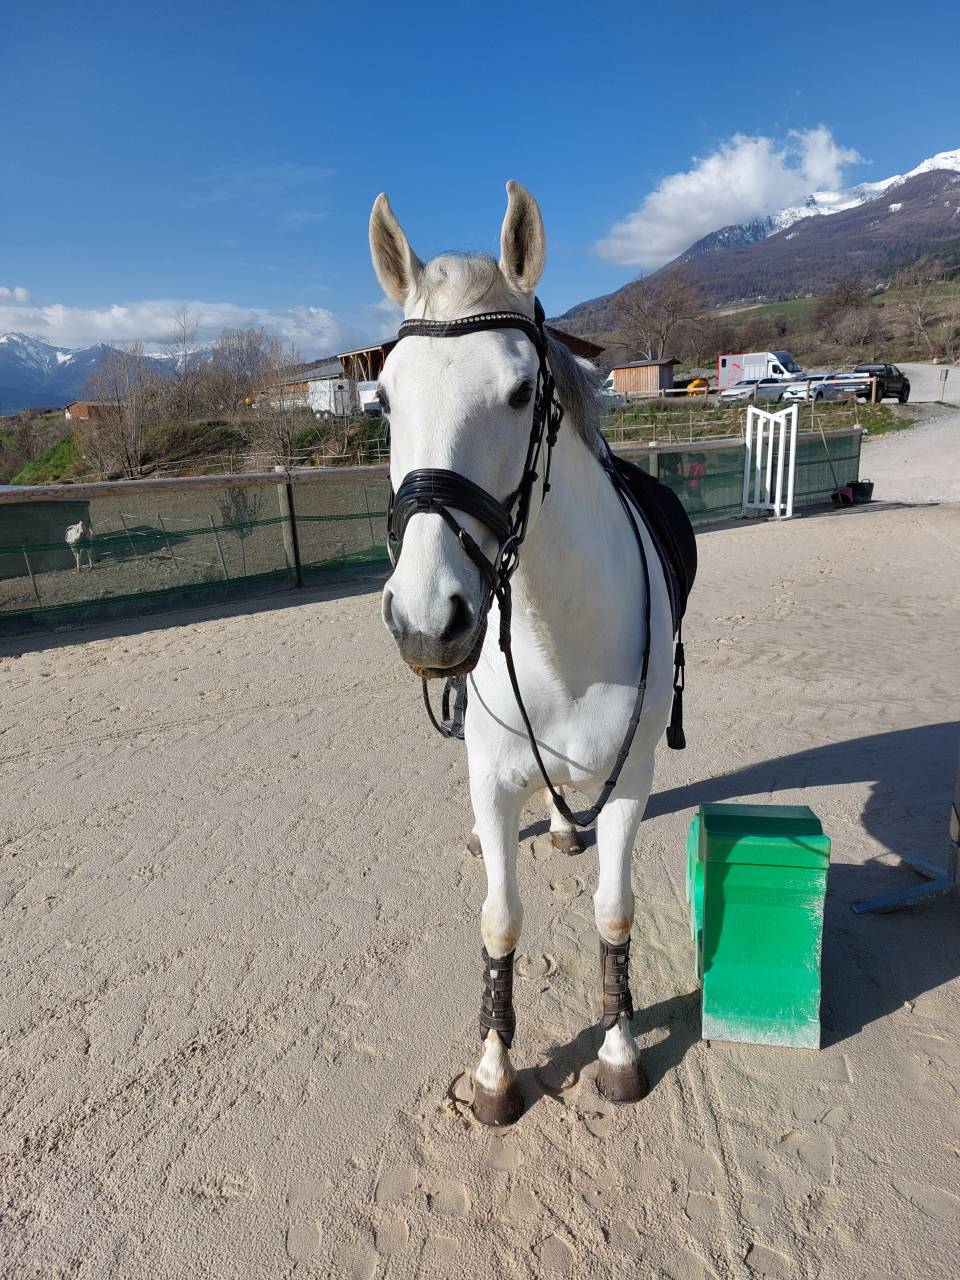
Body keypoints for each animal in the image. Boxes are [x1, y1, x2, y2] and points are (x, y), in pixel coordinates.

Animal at [371, 181, 683, 1125]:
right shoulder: (493, 775)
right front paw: (495, 1070)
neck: (559, 635)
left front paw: (618, 1051)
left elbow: (614, 913)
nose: (426, 620)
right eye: (384, 400)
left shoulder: (633, 777)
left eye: (519, 392)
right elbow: (499, 919)